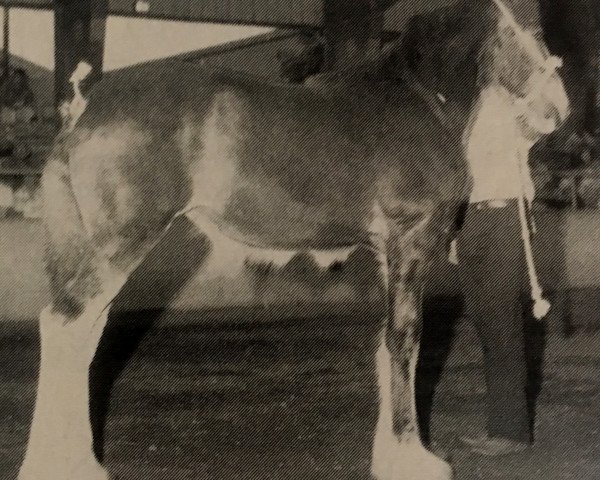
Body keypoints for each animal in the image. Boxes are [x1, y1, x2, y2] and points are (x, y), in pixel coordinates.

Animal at [18, 1, 568, 478]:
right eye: (518, 32)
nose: (558, 108)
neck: (418, 98)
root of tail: (84, 107)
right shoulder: (411, 241)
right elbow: (405, 339)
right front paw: (412, 458)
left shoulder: (388, 252)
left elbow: (385, 342)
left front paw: (388, 456)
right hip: (120, 245)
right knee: (66, 328)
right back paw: (57, 466)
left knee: (85, 334)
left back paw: (80, 461)